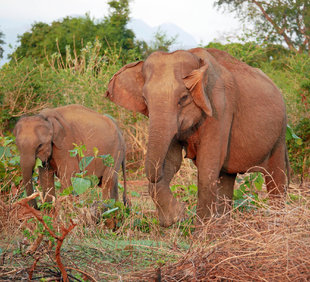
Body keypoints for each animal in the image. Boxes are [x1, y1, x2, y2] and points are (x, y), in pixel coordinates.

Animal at [105, 46, 290, 227]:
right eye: (145, 99)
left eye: (184, 97)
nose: (126, 203)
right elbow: (173, 162)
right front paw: (176, 217)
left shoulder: (220, 107)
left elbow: (207, 164)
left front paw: (200, 230)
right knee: (226, 176)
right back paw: (223, 225)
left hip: (280, 135)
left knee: (276, 177)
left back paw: (277, 220)